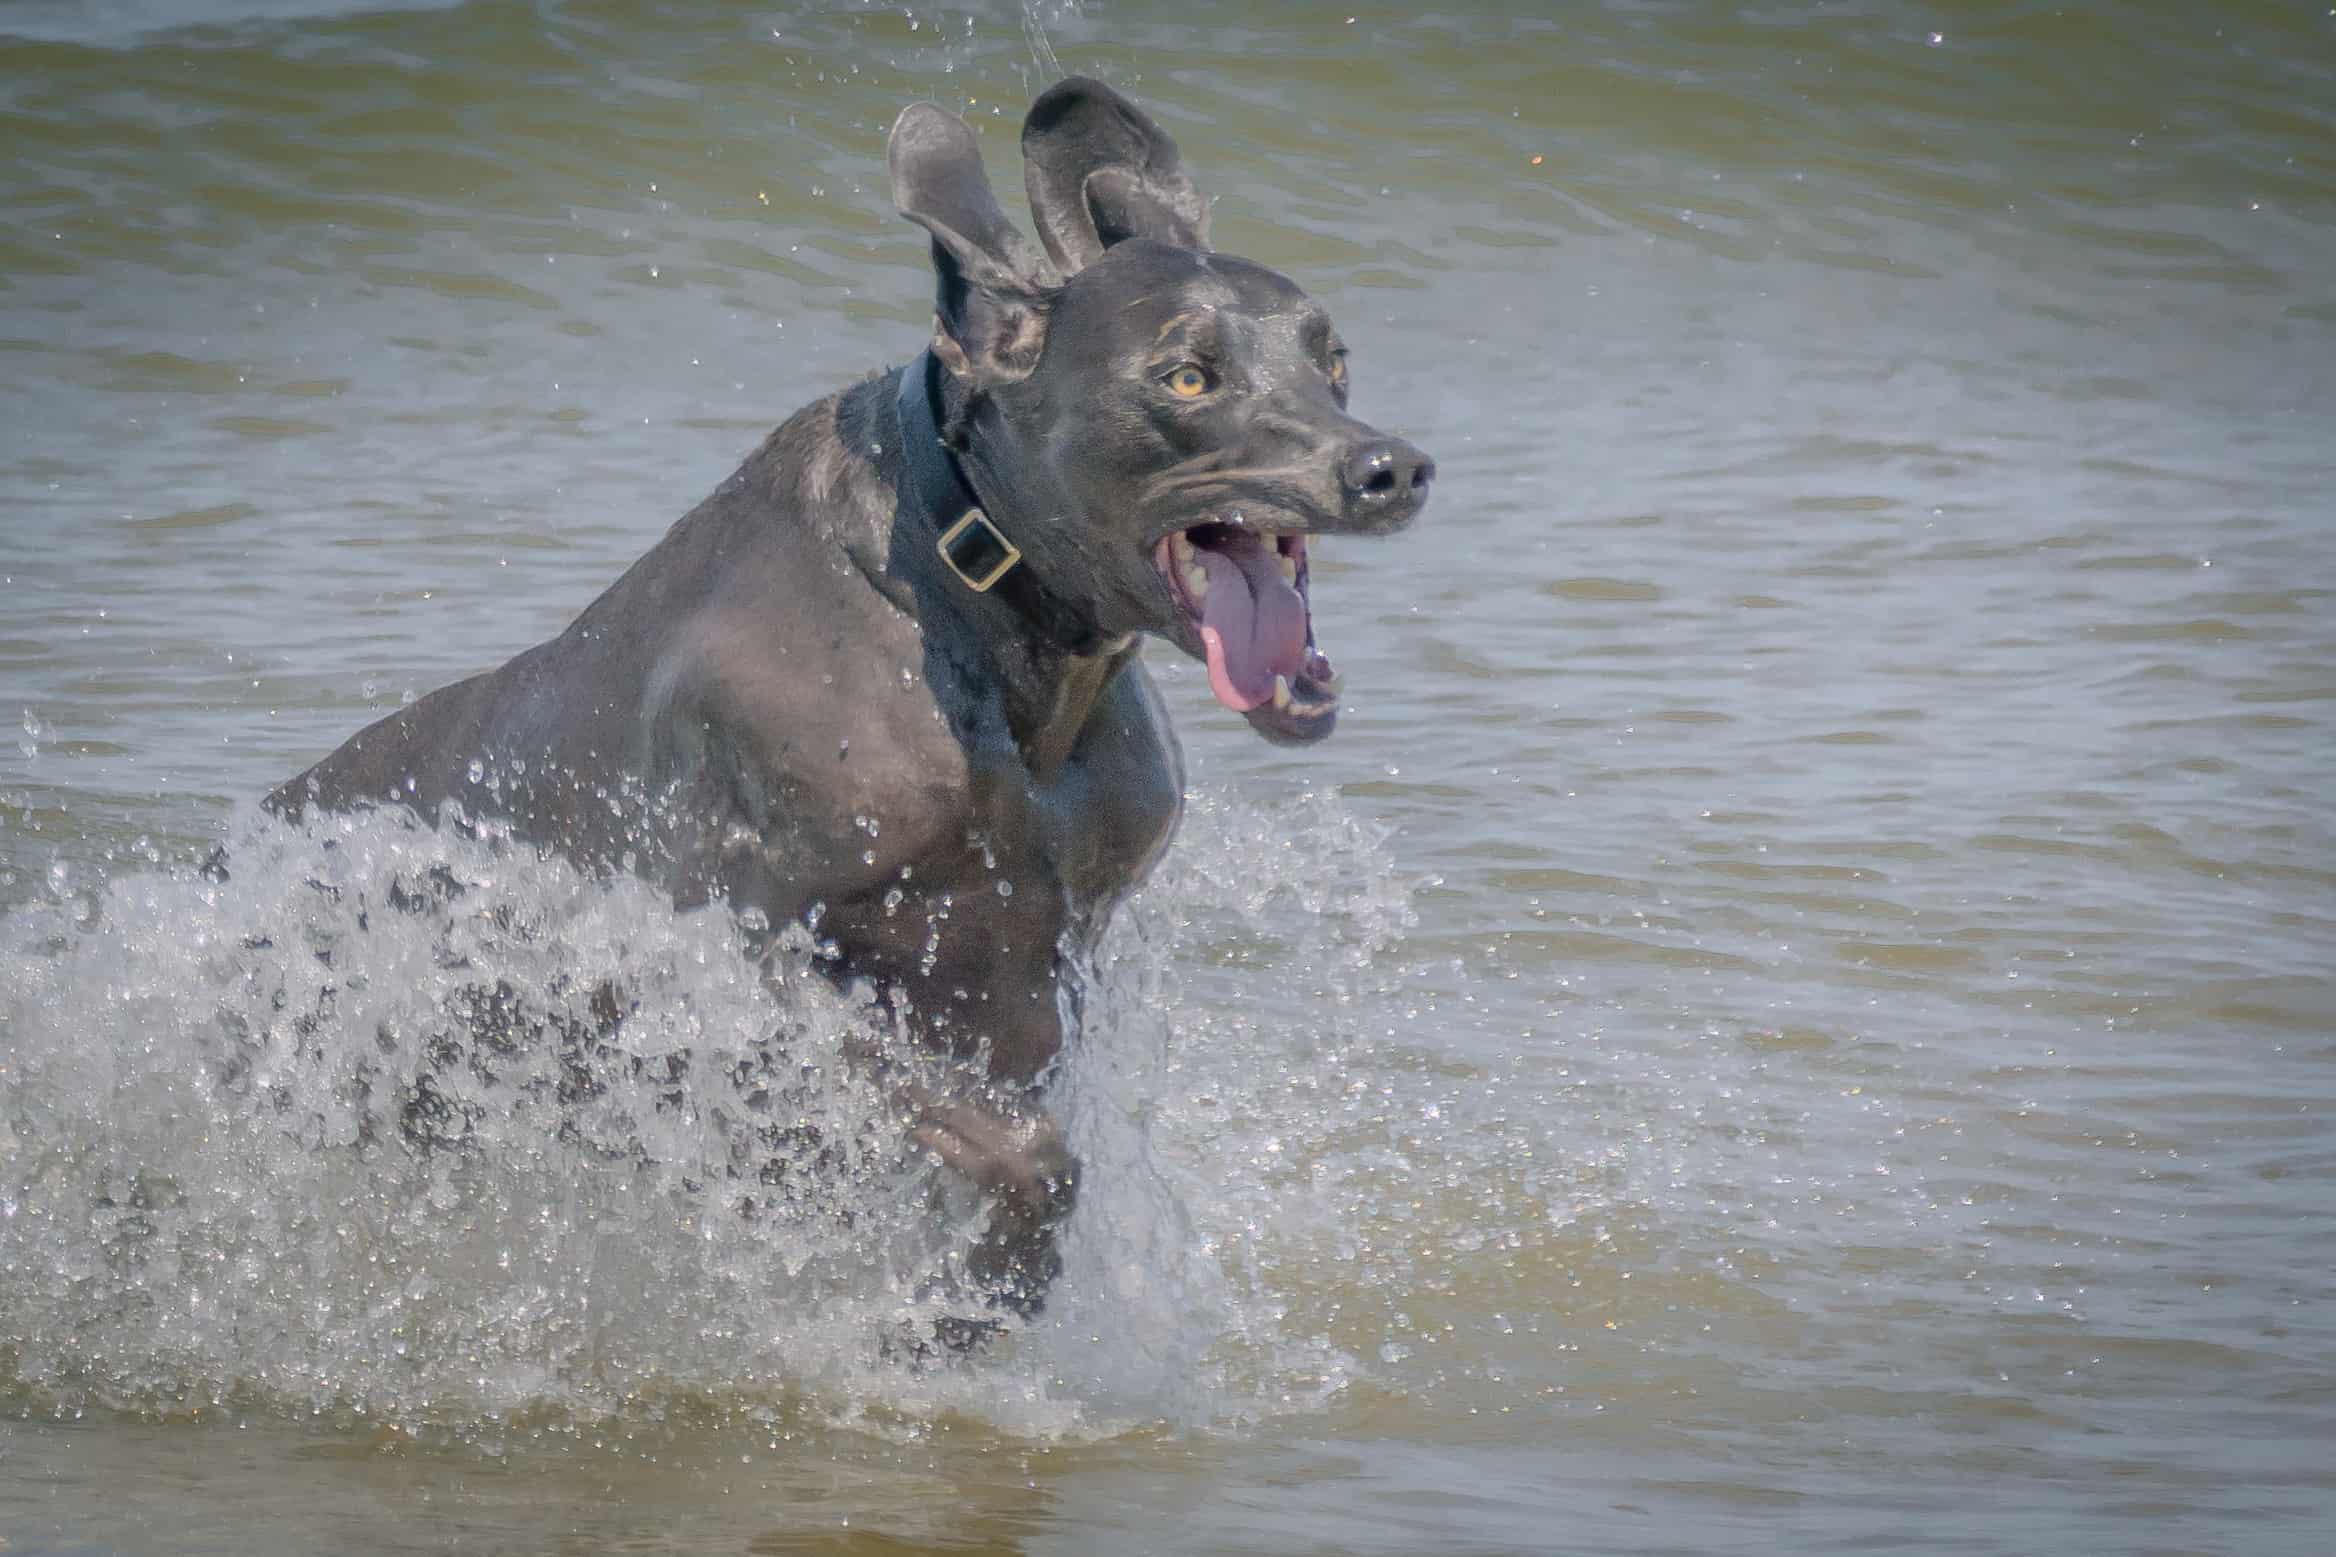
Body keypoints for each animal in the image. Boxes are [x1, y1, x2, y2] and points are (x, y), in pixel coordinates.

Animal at [265, 79, 1429, 1325]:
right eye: (1186, 377)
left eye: (1332, 361)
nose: (1387, 469)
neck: (984, 615)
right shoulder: (727, 959)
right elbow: (1023, 1148)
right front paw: (972, 1299)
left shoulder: (1043, 970)